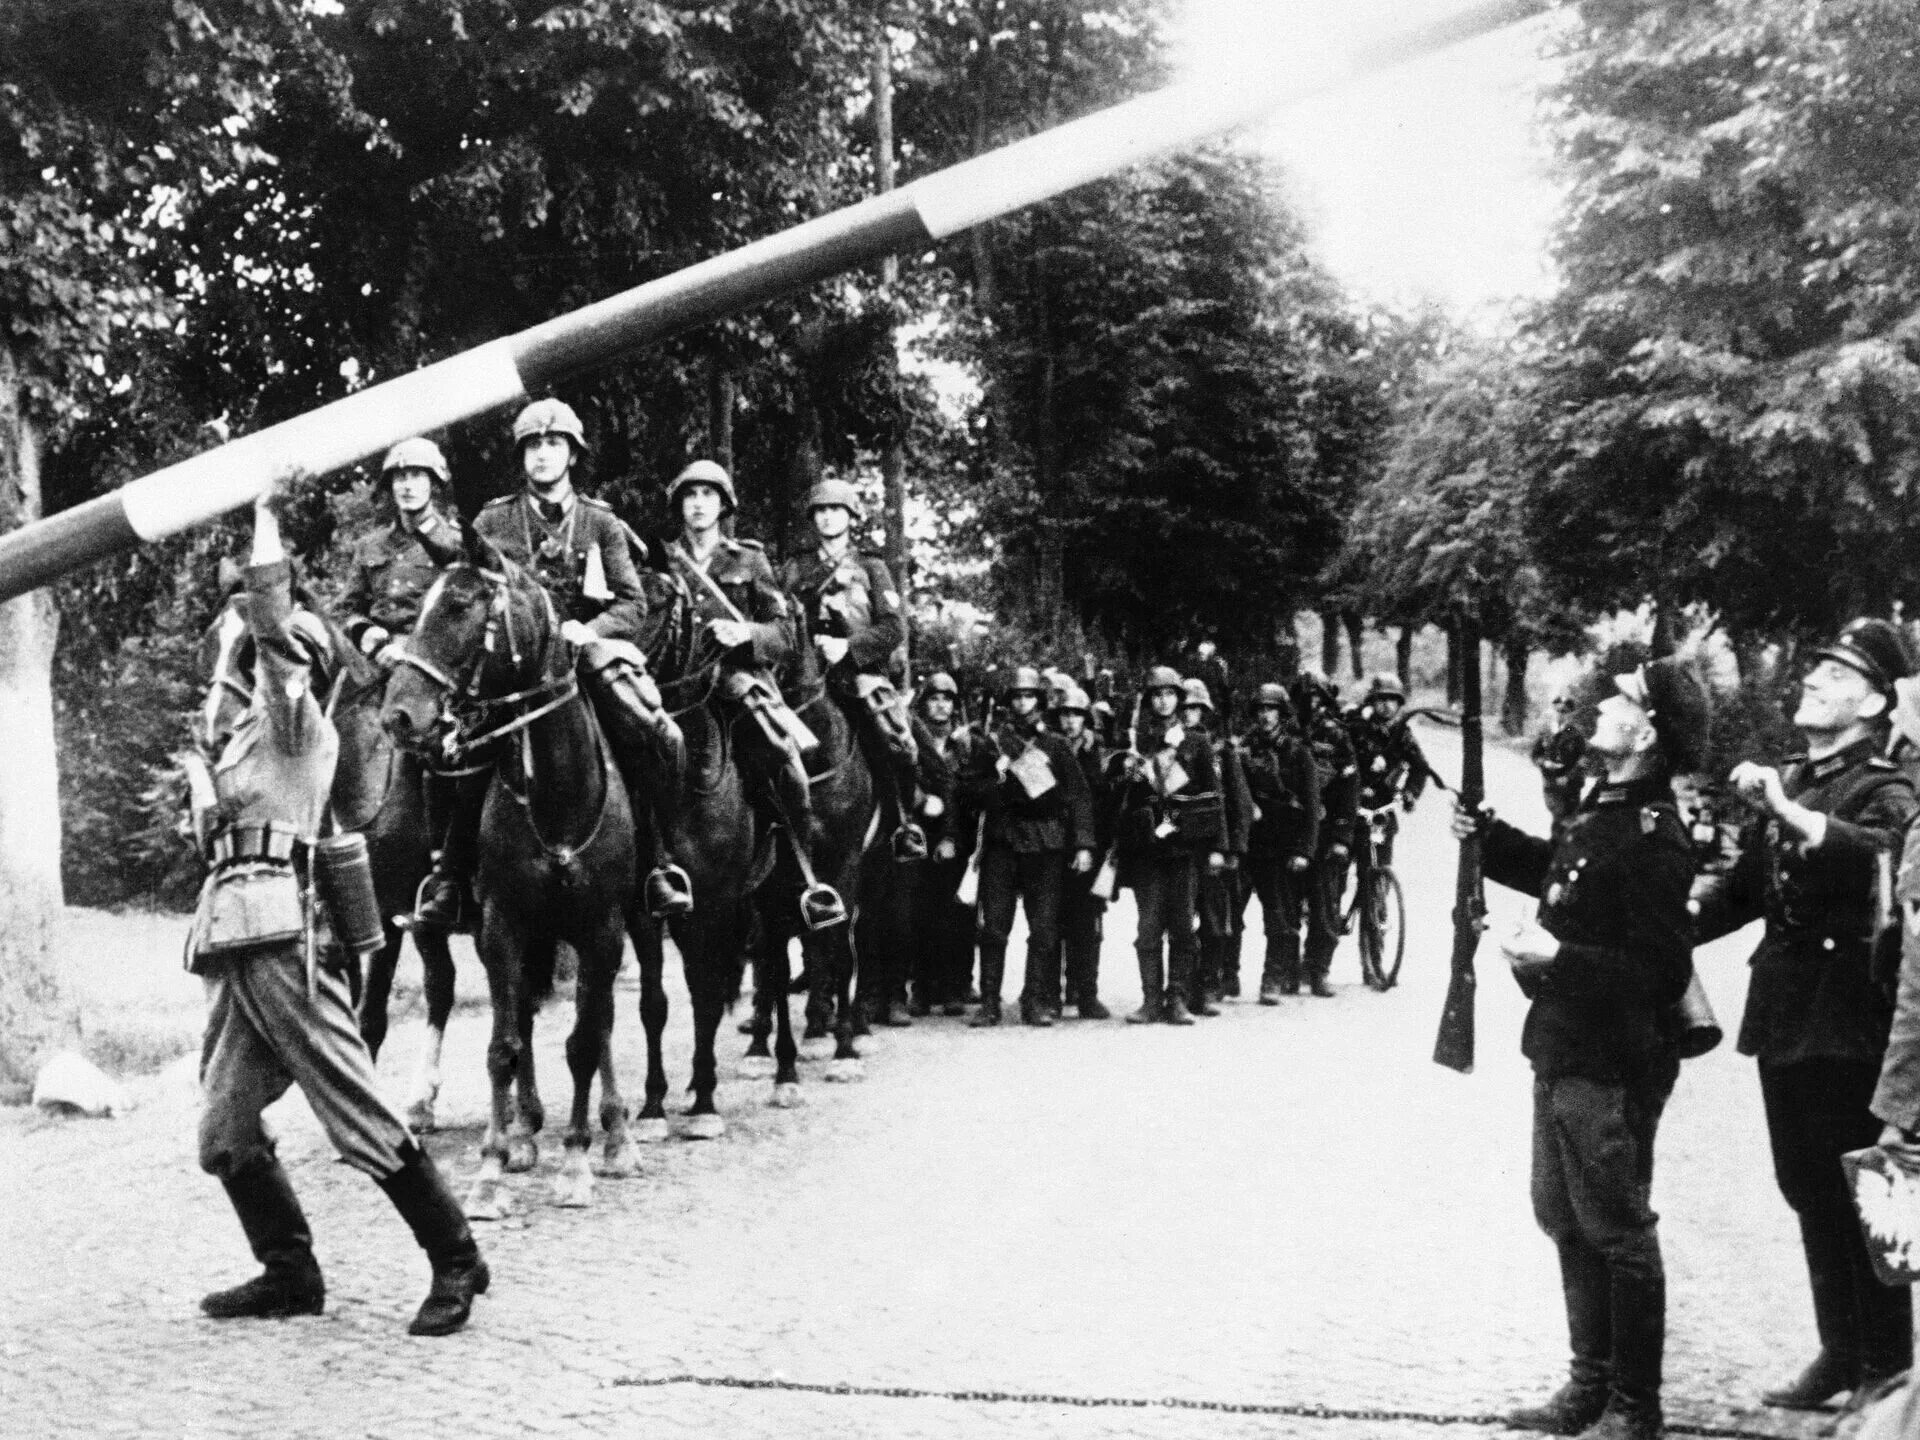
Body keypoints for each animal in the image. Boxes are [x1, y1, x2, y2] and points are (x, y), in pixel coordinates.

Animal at [380, 531, 637, 1216]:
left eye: (459, 607)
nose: (399, 717)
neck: (557, 798)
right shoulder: (504, 929)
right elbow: (503, 1046)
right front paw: (493, 1168)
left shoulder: (601, 931)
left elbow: (584, 1041)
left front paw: (576, 1163)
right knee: (502, 1008)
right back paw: (521, 1133)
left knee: (599, 1022)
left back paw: (615, 1136)